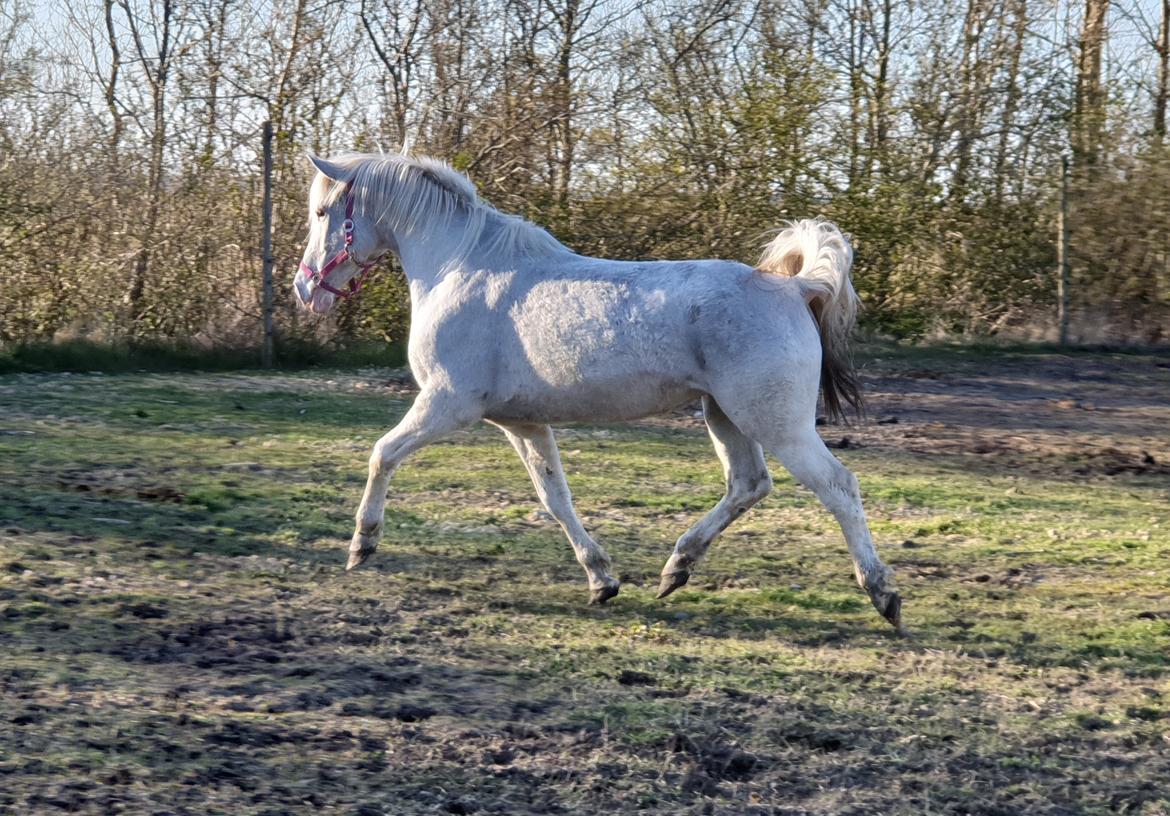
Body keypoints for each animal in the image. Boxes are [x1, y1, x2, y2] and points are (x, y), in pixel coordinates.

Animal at [297, 149, 898, 627]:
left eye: (324, 213)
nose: (306, 289)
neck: (459, 268)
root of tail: (796, 287)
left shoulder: (445, 405)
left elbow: (382, 454)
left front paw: (361, 545)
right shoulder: (522, 422)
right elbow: (554, 497)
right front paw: (601, 580)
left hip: (775, 423)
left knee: (838, 486)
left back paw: (883, 595)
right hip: (725, 416)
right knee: (748, 484)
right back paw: (675, 570)